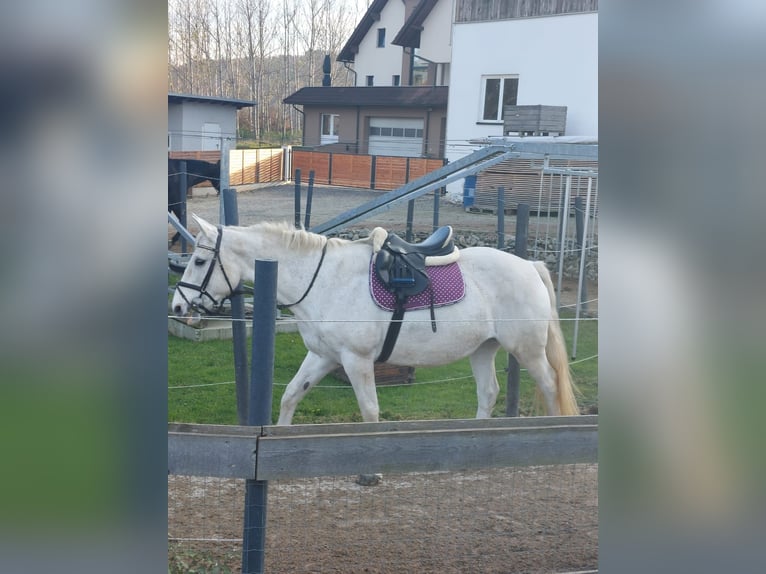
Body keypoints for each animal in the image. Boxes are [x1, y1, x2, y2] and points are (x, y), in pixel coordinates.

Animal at [172, 215, 580, 427]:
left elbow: (369, 411)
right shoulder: (323, 356)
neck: (324, 278)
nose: (177, 307)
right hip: (483, 349)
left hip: (527, 350)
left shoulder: (356, 361)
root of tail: (529, 265)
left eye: (200, 261)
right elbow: (290, 396)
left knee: (548, 385)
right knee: (489, 393)